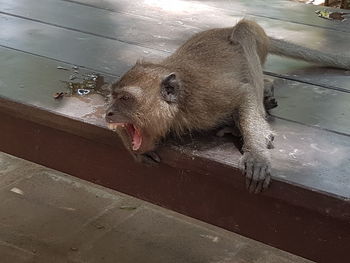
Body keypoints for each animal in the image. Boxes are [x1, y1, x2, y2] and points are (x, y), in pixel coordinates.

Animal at [104, 19, 350, 194]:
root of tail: (225, 27)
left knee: (244, 30)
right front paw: (133, 148)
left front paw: (256, 154)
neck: (180, 105)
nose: (109, 113)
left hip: (257, 41)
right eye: (113, 96)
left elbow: (243, 94)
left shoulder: (204, 99)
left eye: (125, 98)